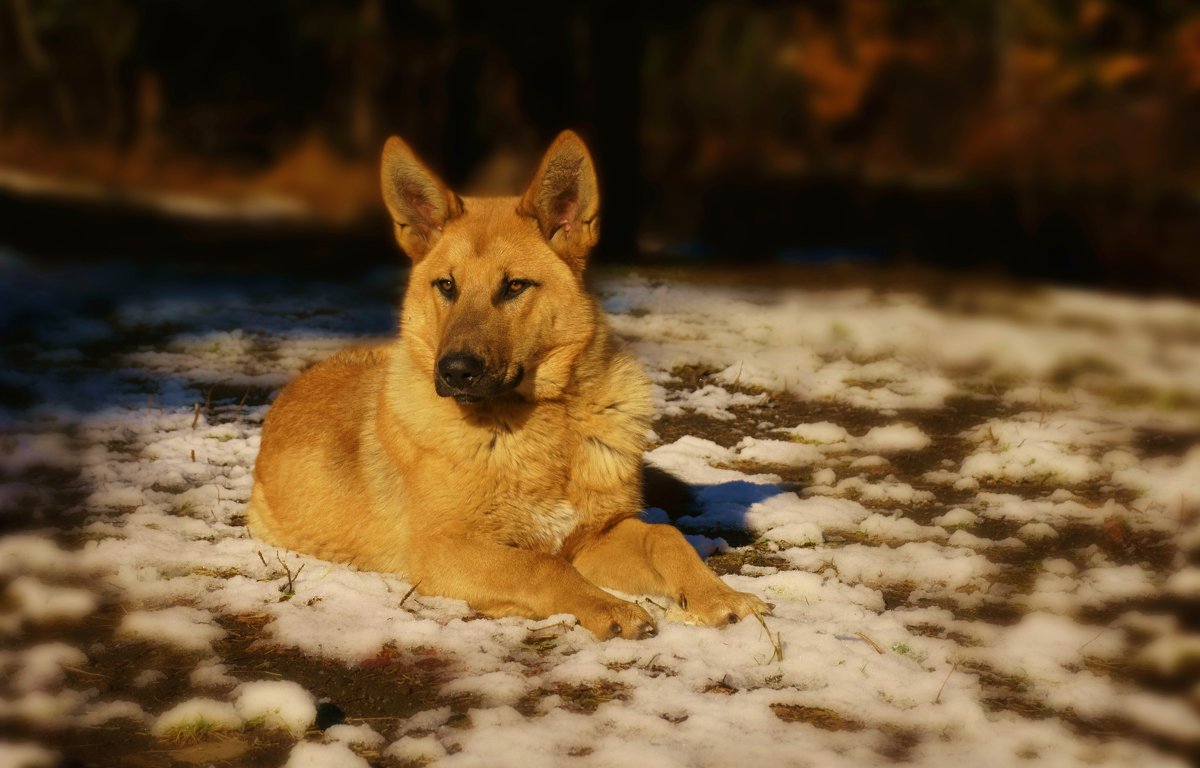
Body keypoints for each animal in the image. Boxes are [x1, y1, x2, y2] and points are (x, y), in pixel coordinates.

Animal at [246, 130, 768, 633]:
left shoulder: (597, 536)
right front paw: (608, 608)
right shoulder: (445, 552)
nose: (454, 371)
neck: (537, 428)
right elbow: (543, 566)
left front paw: (717, 595)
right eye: (447, 286)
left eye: (515, 286)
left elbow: (666, 536)